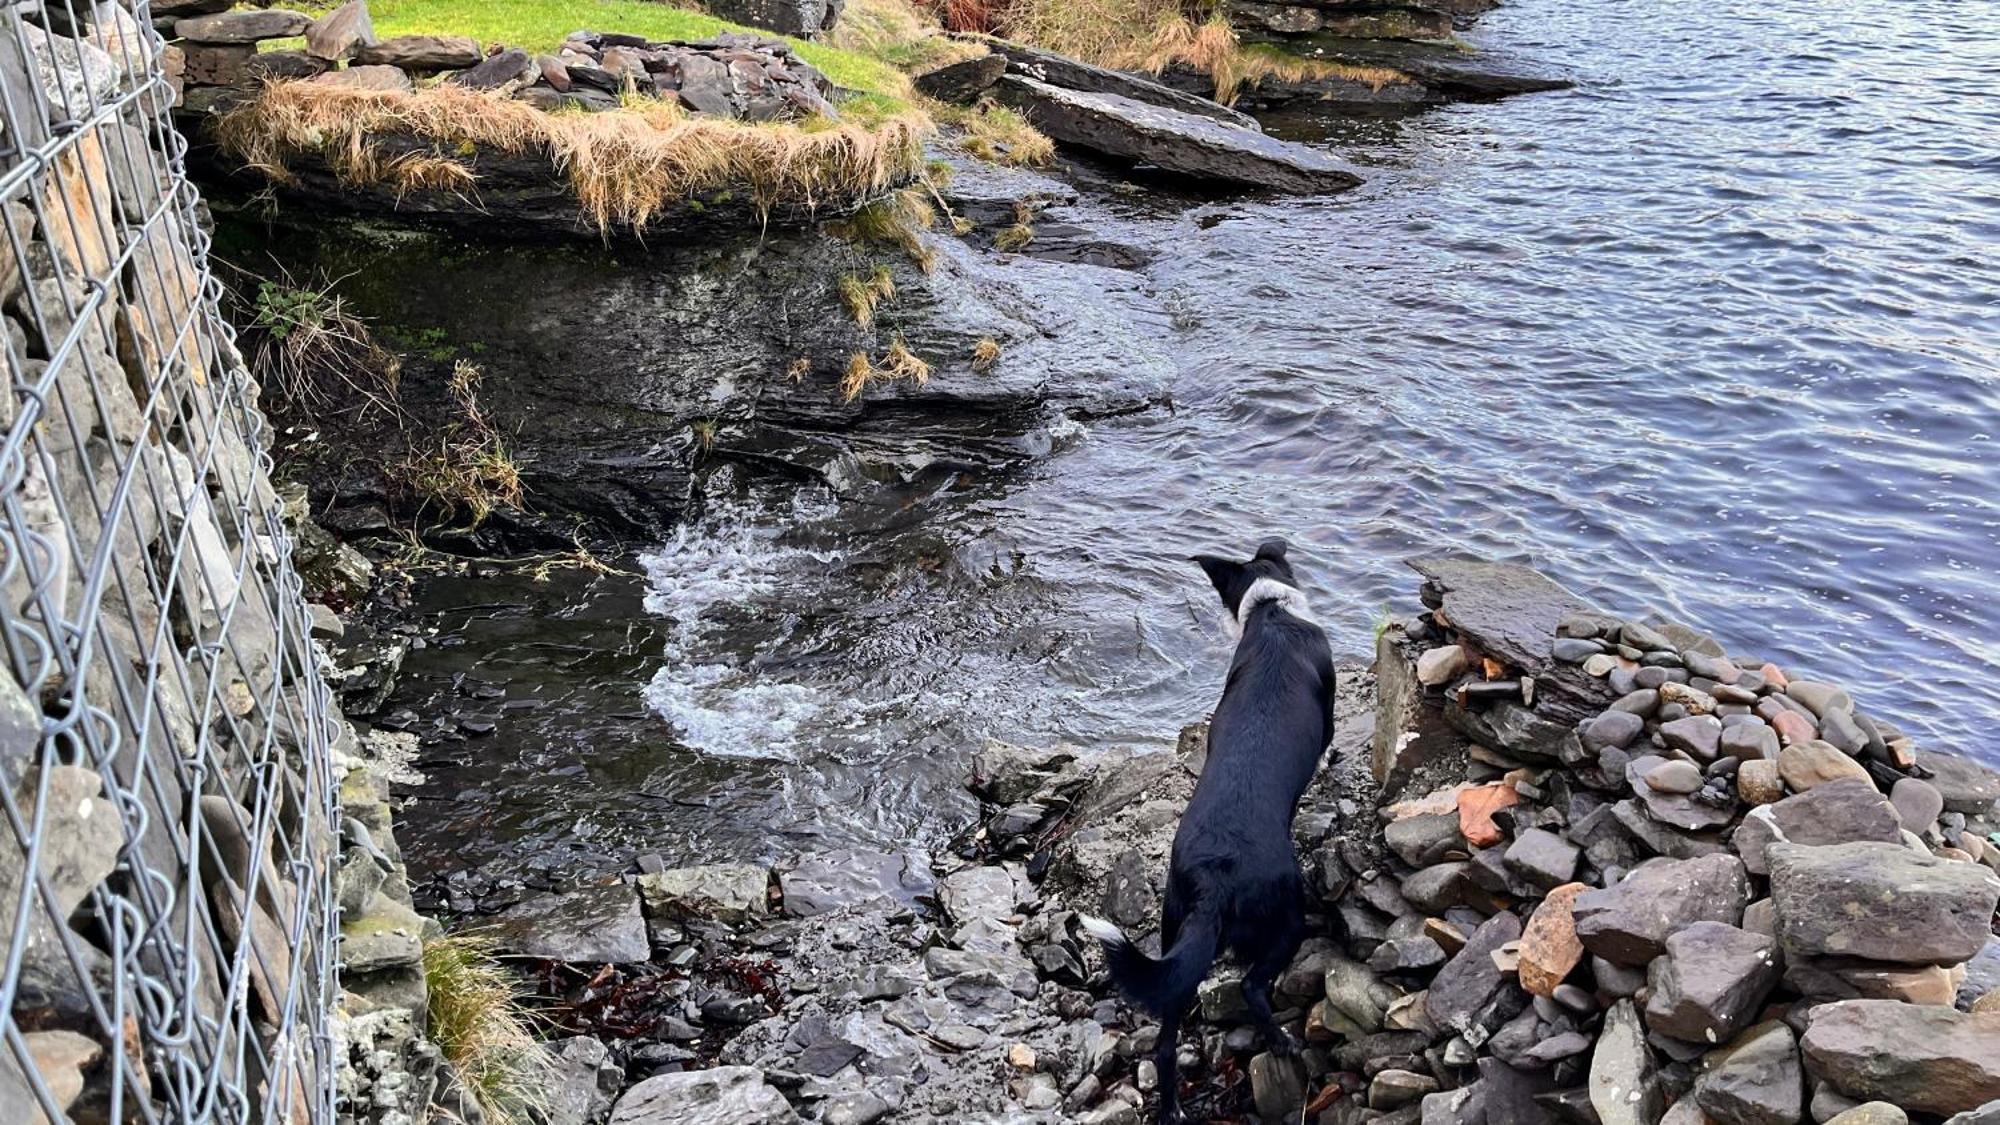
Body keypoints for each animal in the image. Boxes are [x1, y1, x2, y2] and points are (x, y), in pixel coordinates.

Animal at [1088, 540, 1336, 1112]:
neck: (1273, 613)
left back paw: (1171, 1107)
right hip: (1287, 918)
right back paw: (1281, 1042)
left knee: (1164, 1037)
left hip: (1175, 927)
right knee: (1251, 987)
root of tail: (1214, 878)